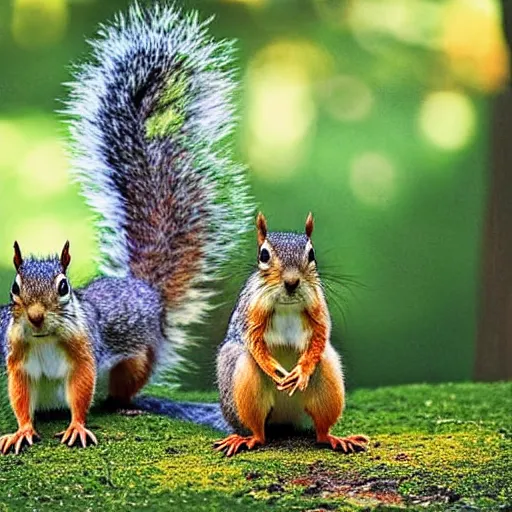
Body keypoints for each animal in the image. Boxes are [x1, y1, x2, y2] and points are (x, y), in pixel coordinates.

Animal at [0, 2, 250, 454]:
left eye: (64, 287)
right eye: (14, 288)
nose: (37, 317)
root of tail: (144, 289)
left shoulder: (86, 355)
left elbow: (81, 389)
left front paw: (77, 425)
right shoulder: (15, 360)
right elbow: (20, 398)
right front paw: (22, 429)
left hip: (136, 359)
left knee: (123, 391)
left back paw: (130, 405)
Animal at [214, 212, 370, 456]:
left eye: (311, 254)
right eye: (264, 255)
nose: (292, 282)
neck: (287, 303)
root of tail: (285, 418)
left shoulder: (318, 307)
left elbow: (321, 334)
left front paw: (301, 372)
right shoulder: (252, 309)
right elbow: (253, 339)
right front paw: (273, 369)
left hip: (327, 381)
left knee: (321, 430)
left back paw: (333, 438)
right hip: (244, 387)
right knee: (258, 431)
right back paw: (248, 438)